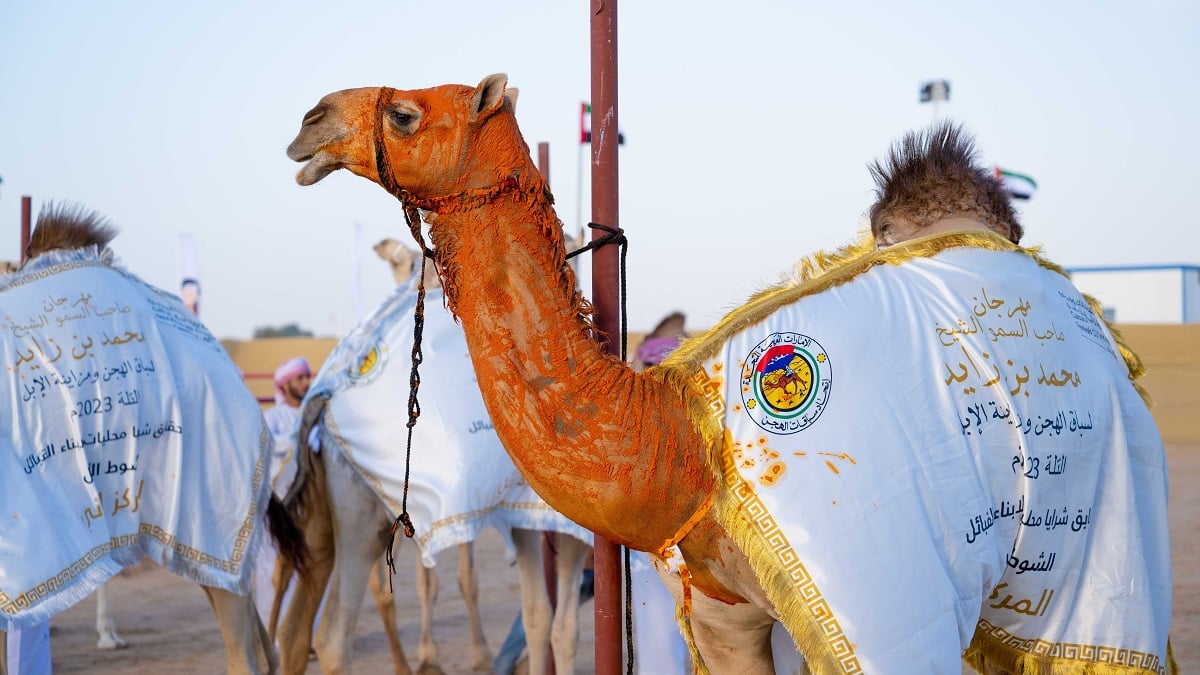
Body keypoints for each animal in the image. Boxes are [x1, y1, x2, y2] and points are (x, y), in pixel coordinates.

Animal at [273, 240, 592, 675]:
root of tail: (321, 399)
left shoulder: (524, 518)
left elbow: (537, 617)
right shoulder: (568, 524)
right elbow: (563, 628)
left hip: (323, 522)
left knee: (294, 630)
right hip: (361, 524)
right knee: (333, 636)